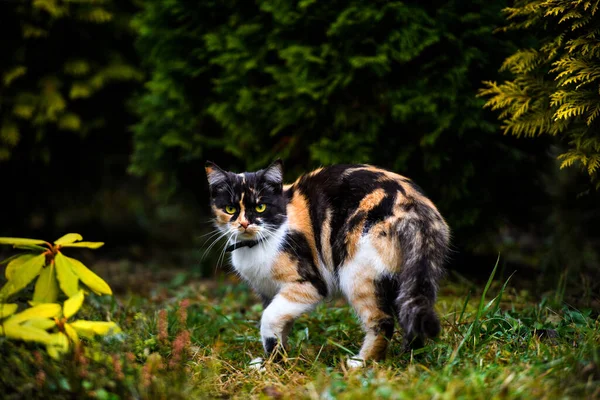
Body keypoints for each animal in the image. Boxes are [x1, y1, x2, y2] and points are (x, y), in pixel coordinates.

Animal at [204, 160, 448, 368]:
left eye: (261, 207)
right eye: (230, 209)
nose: (244, 224)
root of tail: (414, 205)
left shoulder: (309, 284)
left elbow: (269, 319)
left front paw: (273, 364)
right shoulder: (269, 292)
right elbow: (281, 324)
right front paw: (274, 362)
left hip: (357, 271)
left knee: (383, 321)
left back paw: (361, 363)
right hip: (403, 277)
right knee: (409, 313)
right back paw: (409, 359)